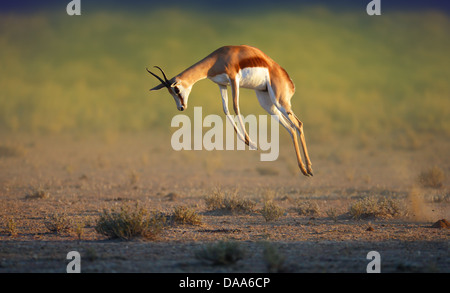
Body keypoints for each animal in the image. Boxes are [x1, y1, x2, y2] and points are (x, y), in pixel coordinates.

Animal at [148, 44, 312, 176]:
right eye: (170, 92)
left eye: (176, 89)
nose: (181, 107)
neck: (217, 59)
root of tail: (288, 80)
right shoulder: (222, 84)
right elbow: (226, 109)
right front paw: (247, 142)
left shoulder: (234, 79)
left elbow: (235, 107)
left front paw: (251, 142)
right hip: (268, 104)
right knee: (291, 128)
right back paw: (304, 169)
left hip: (280, 102)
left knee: (298, 124)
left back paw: (309, 168)